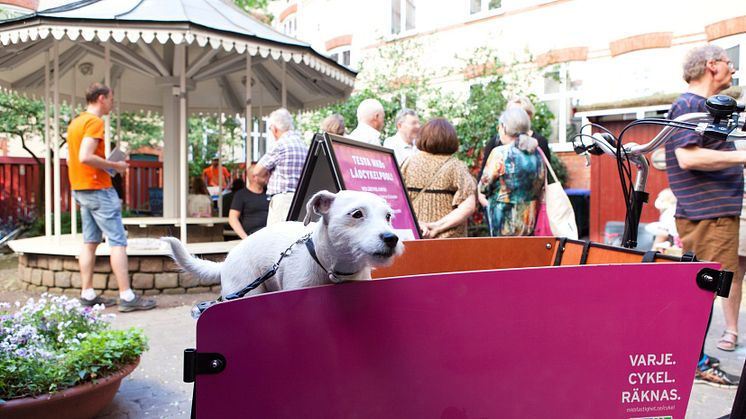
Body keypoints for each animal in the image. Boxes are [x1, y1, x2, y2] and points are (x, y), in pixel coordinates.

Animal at [161, 190, 404, 298]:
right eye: (356, 214)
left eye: (388, 216)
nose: (391, 238)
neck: (334, 270)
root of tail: (228, 259)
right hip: (247, 291)